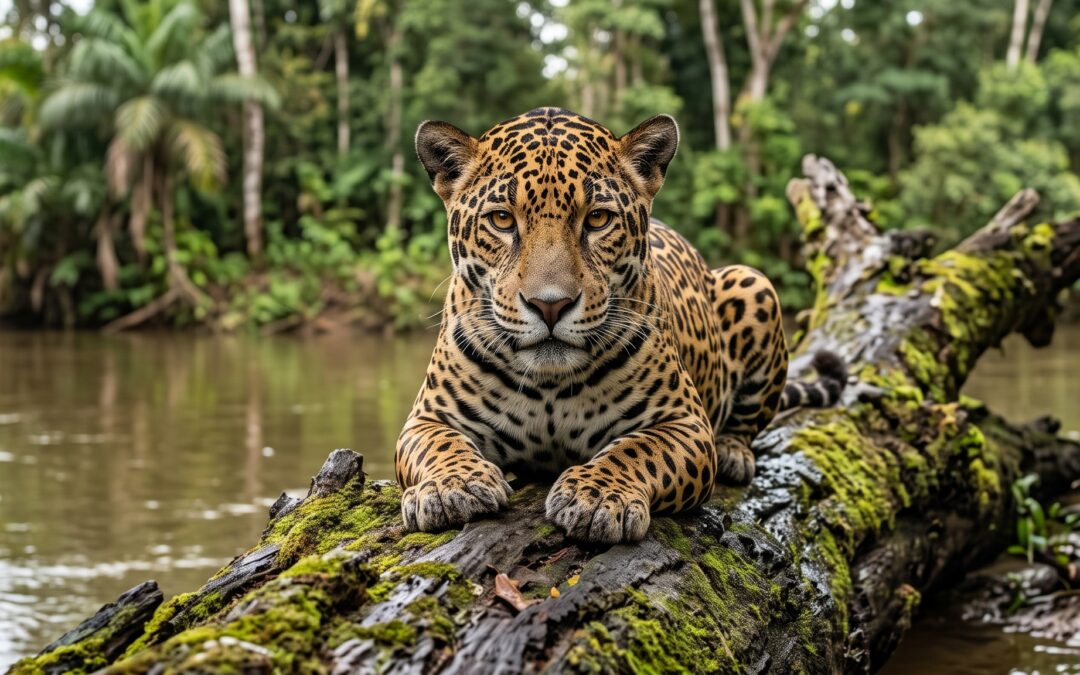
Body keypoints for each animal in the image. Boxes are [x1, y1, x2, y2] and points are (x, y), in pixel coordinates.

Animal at [396, 107, 846, 544]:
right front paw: (452, 486)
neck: (549, 385)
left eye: (597, 219)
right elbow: (439, 445)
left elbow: (637, 449)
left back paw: (734, 453)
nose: (550, 305)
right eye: (502, 220)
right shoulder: (426, 418)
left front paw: (595, 496)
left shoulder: (685, 423)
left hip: (754, 283)